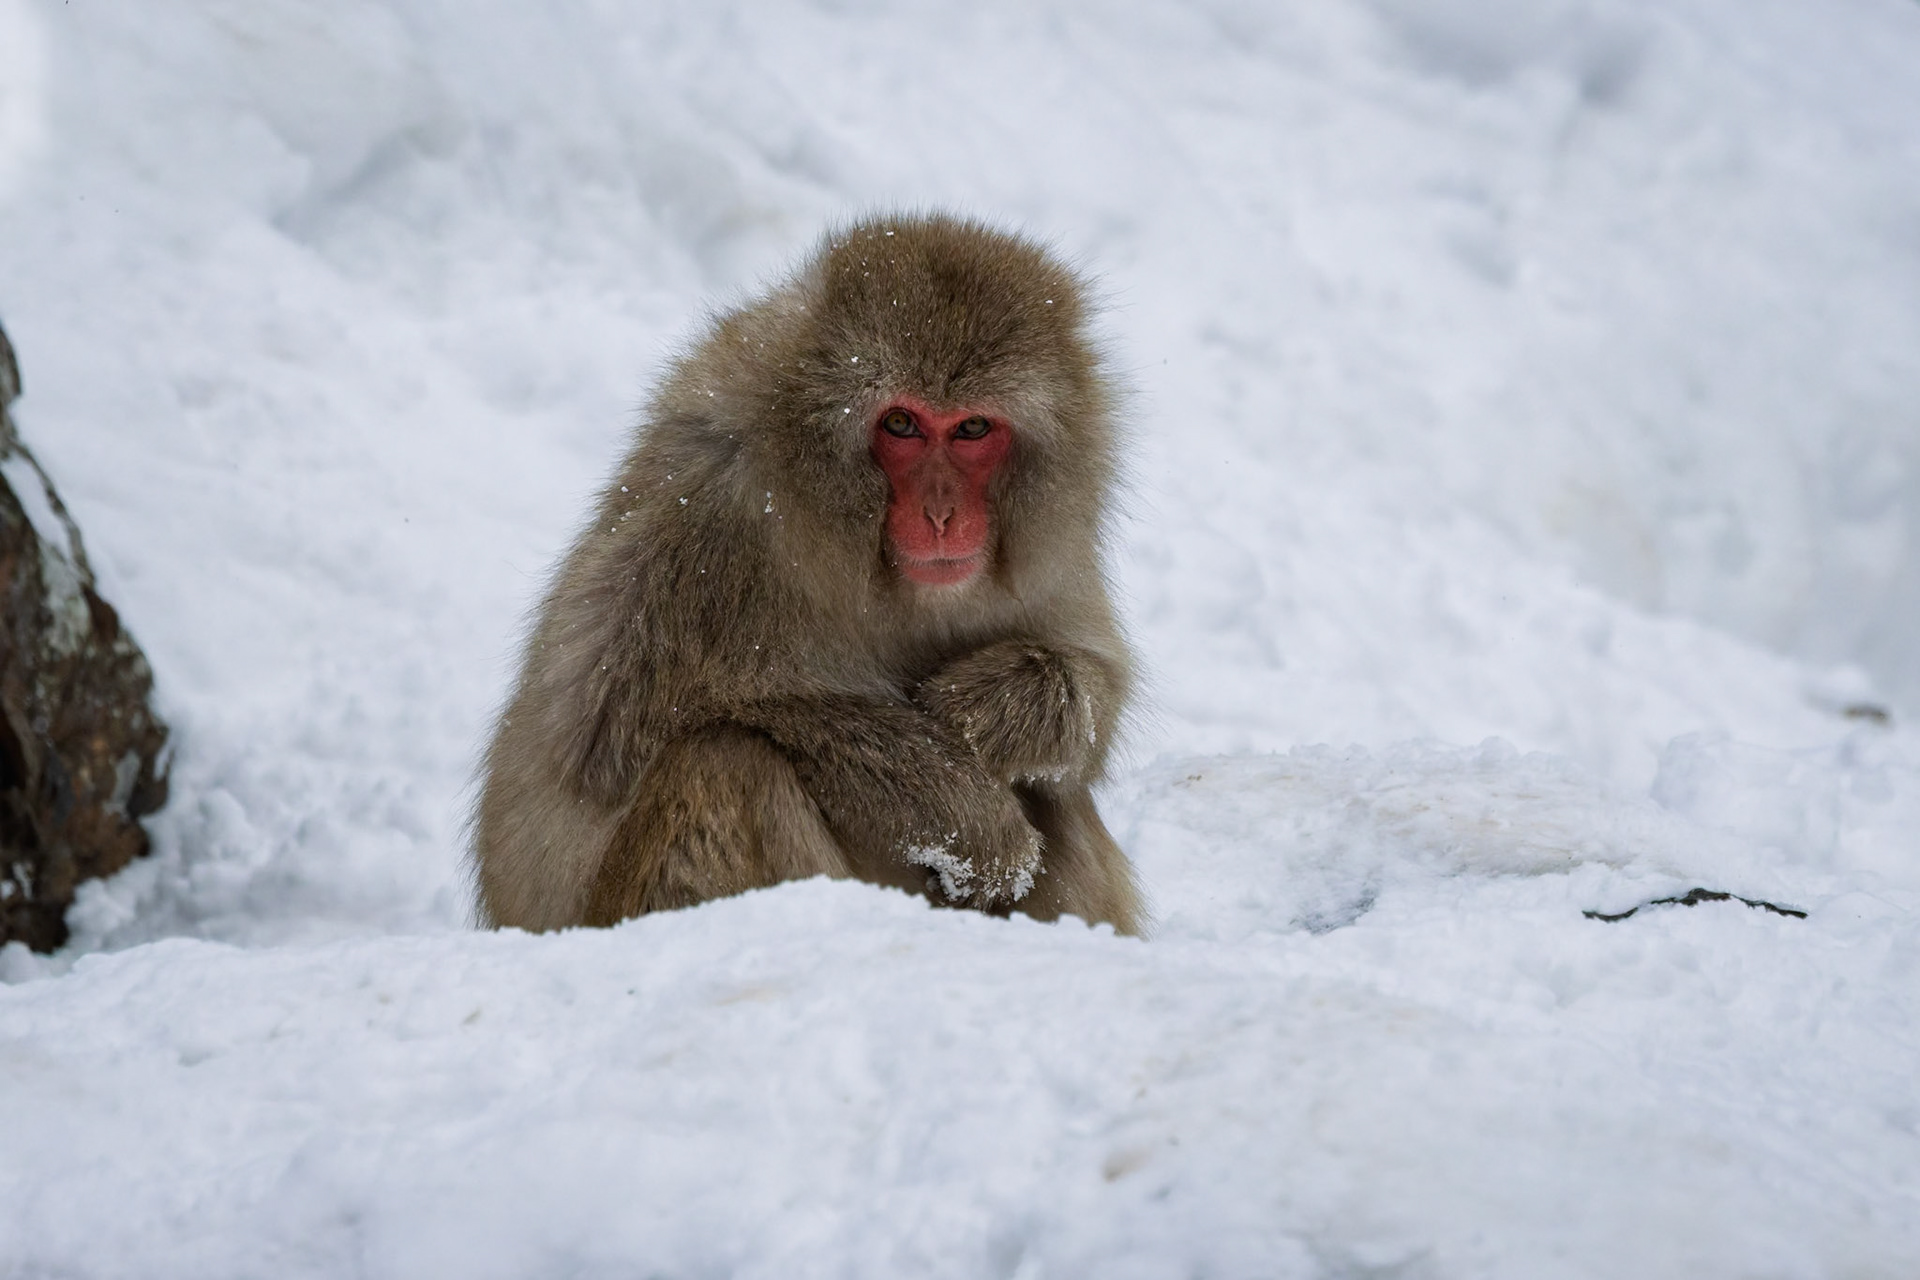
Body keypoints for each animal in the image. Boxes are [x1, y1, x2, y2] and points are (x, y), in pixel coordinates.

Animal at [472, 212, 1143, 936]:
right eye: (901, 423)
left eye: (971, 428)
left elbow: (1093, 689)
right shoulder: (705, 516)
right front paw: (962, 810)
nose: (941, 515)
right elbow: (608, 753)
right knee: (723, 760)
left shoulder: (1053, 550)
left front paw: (1002, 709)